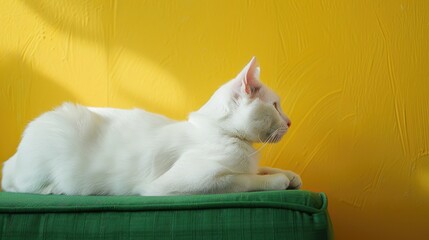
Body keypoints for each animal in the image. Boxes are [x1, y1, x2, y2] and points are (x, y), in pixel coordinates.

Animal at [1, 57, 300, 196]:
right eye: (275, 106)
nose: (289, 121)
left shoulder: (248, 163)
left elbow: (259, 168)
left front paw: (289, 174)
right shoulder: (181, 183)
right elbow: (242, 179)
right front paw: (277, 181)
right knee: (14, 185)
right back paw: (57, 189)